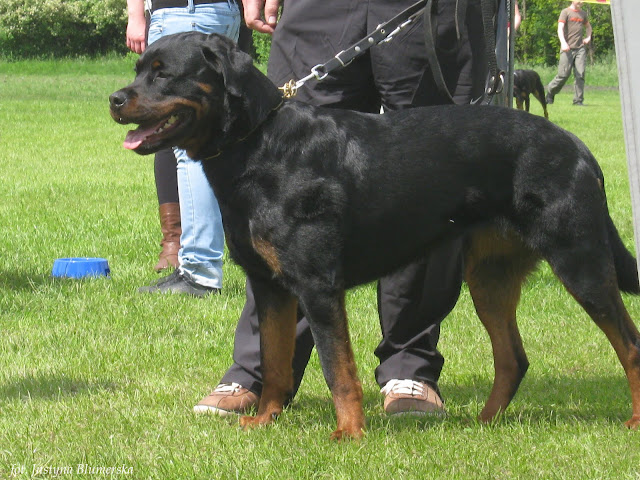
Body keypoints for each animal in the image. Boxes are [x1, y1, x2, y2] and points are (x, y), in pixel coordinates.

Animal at [110, 32, 640, 440]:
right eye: (138, 69)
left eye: (163, 73)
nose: (116, 99)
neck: (258, 145)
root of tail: (577, 148)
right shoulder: (270, 287)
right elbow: (276, 362)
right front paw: (264, 420)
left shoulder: (318, 287)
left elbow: (337, 367)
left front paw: (349, 433)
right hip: (491, 276)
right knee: (513, 358)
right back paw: (483, 424)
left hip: (580, 260)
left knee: (629, 344)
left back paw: (632, 422)